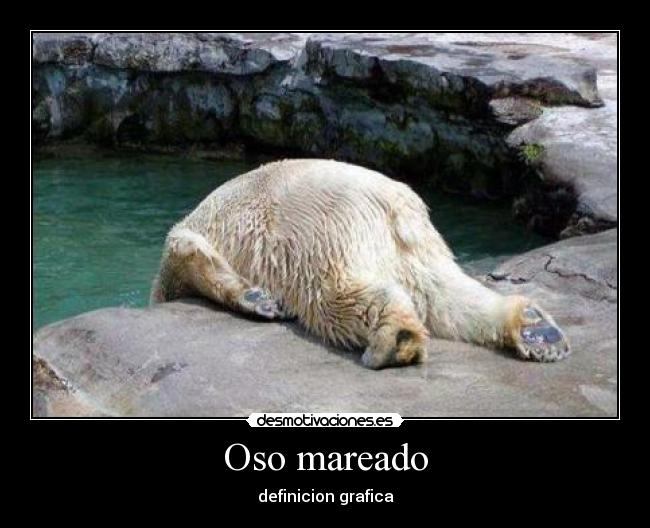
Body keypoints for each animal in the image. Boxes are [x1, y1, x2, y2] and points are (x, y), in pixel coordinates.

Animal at [151, 159, 569, 369]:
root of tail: (394, 204)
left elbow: (184, 255)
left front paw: (257, 299)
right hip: (421, 247)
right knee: (446, 296)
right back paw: (537, 330)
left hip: (315, 231)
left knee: (330, 293)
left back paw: (395, 340)